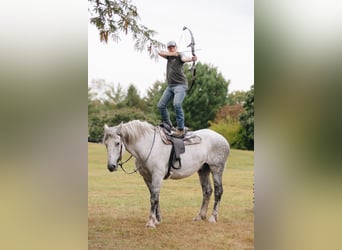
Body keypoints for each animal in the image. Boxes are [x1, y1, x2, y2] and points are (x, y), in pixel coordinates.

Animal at [102, 120, 230, 228]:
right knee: (207, 191)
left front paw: (151, 222)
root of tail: (223, 139)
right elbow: (154, 197)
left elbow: (153, 198)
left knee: (218, 191)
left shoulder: (157, 176)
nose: (111, 166)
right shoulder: (147, 178)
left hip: (216, 169)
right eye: (106, 144)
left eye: (117, 143)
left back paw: (213, 217)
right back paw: (200, 216)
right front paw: (157, 219)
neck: (147, 145)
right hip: (203, 170)